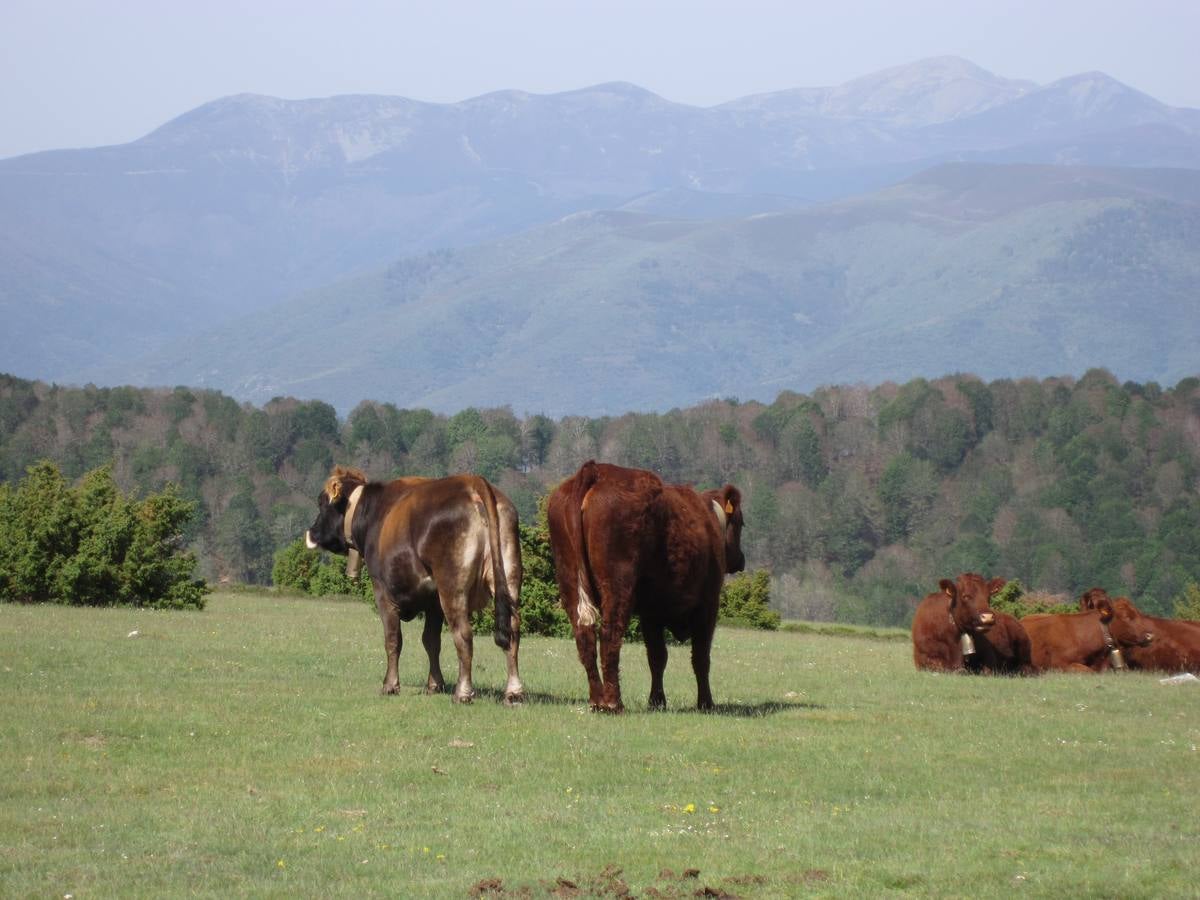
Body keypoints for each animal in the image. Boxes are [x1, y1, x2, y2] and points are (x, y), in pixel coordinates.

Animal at [302, 468, 523, 710]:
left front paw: (390, 685)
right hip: (508, 575)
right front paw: (434, 684)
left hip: (452, 586)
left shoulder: (382, 591)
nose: (312, 532)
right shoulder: (433, 601)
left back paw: (462, 692)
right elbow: (431, 641)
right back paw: (513, 692)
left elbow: (393, 639)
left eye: (321, 502)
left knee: (463, 634)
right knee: (512, 631)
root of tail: (472, 481)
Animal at [544, 460, 739, 715]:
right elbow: (700, 656)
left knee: (584, 635)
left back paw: (597, 701)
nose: (740, 560)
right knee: (610, 635)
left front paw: (656, 701)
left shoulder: (651, 613)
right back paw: (613, 703)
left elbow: (657, 656)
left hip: (570, 583)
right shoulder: (708, 604)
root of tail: (595, 469)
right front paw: (705, 703)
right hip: (617, 587)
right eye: (741, 523)